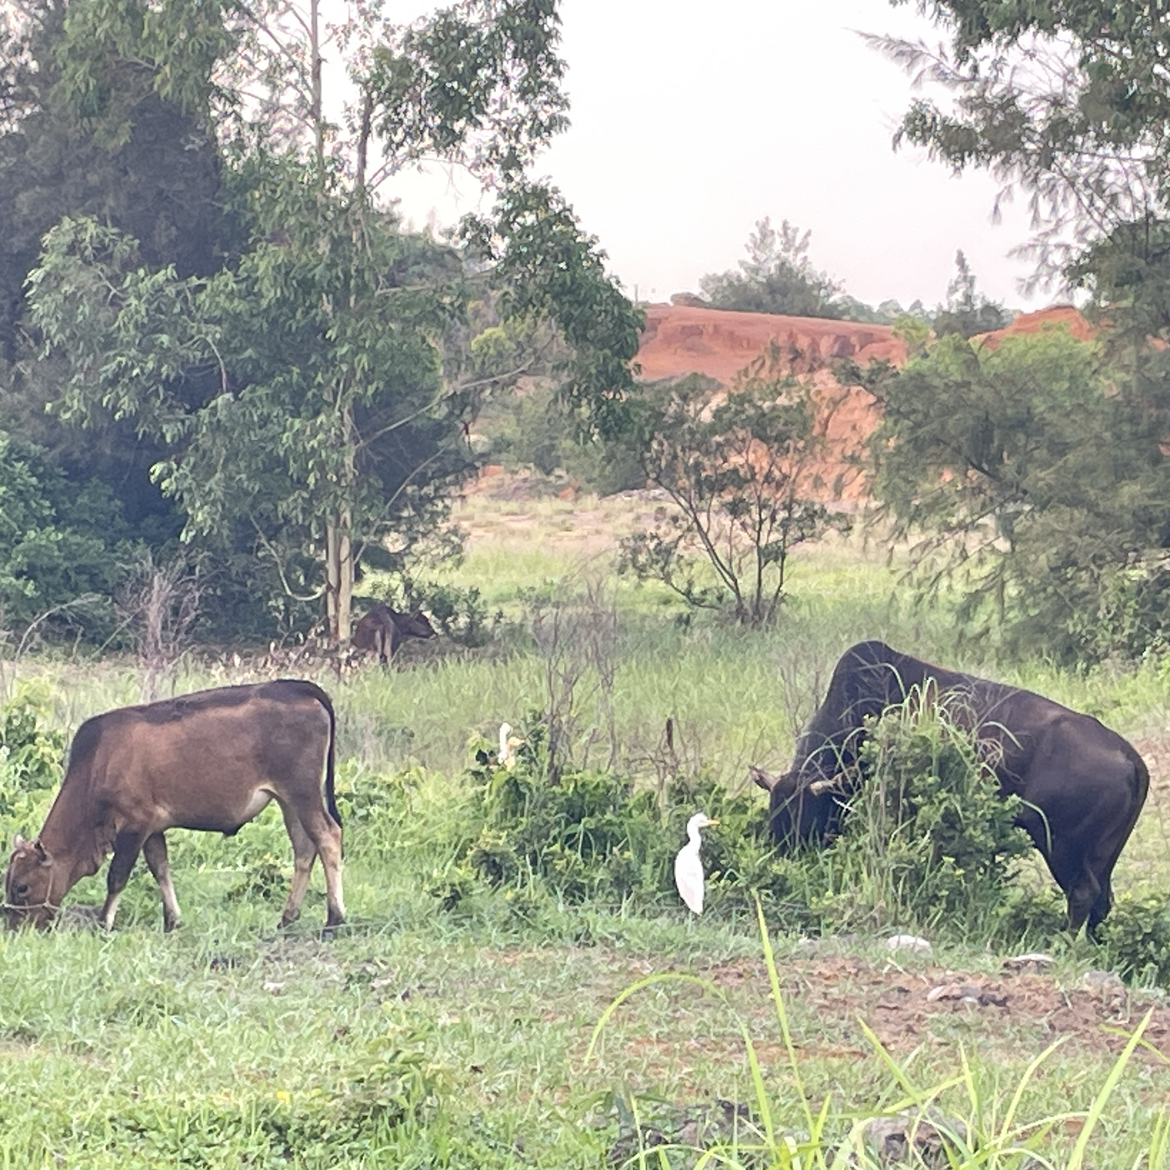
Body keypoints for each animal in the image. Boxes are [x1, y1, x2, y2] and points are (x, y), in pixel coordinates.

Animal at [3, 678, 341, 931]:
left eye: (22, 887)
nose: (15, 928)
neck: (100, 764)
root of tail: (298, 688)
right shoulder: (153, 828)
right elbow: (161, 870)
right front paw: (172, 921)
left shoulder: (134, 825)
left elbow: (117, 876)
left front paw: (104, 923)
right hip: (288, 800)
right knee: (304, 848)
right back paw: (287, 918)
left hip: (302, 792)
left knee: (328, 837)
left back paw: (335, 918)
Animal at [753, 645, 1146, 935]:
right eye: (774, 813)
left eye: (803, 818)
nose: (783, 857)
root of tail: (1131, 759)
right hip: (1102, 855)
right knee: (1101, 901)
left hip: (1060, 846)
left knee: (1082, 894)